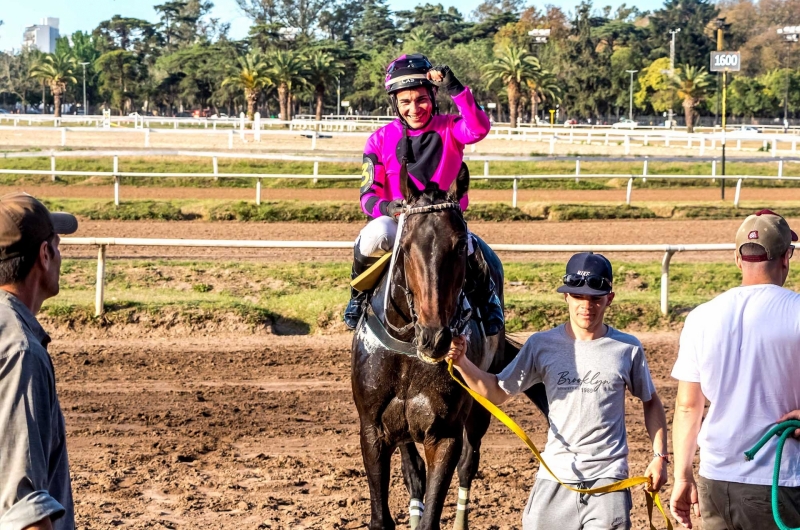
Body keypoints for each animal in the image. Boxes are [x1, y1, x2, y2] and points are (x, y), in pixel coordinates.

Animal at [352, 166, 548, 528]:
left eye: (459, 247)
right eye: (405, 247)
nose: (436, 337)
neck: (408, 351)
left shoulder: (445, 434)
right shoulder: (373, 430)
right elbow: (385, 511)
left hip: (481, 404)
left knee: (469, 463)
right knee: (414, 470)